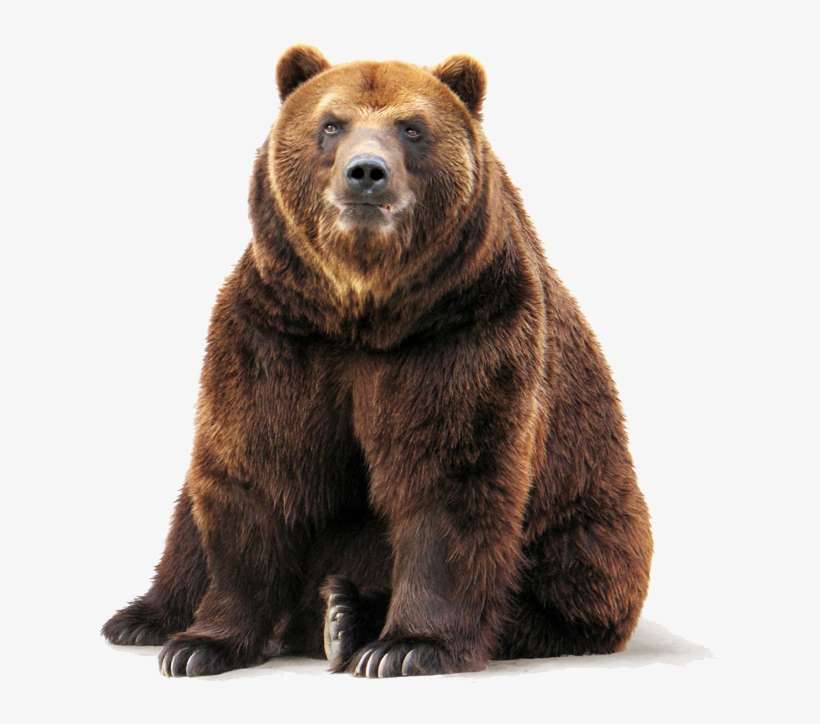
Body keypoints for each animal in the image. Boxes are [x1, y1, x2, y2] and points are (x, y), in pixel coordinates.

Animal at [102, 46, 652, 678]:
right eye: (330, 124)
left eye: (412, 128)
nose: (366, 172)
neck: (363, 311)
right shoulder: (278, 332)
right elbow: (257, 468)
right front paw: (200, 644)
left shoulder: (463, 331)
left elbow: (448, 477)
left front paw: (407, 645)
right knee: (189, 517)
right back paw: (145, 618)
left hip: (589, 519)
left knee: (563, 581)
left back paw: (346, 615)